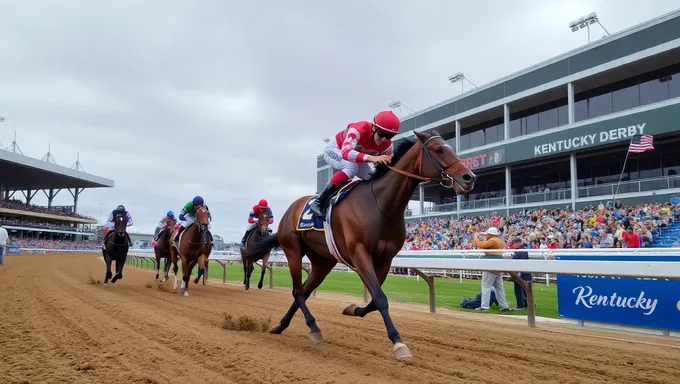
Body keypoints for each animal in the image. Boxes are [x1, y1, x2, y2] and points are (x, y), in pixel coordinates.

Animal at [242, 131, 476, 360]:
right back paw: (313, 328)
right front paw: (398, 343)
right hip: (293, 250)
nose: (469, 178)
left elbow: (375, 299)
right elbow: (380, 298)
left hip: (323, 262)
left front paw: (352, 309)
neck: (381, 205)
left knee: (305, 291)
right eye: (439, 150)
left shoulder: (385, 259)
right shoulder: (359, 253)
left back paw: (281, 326)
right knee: (298, 291)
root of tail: (290, 210)